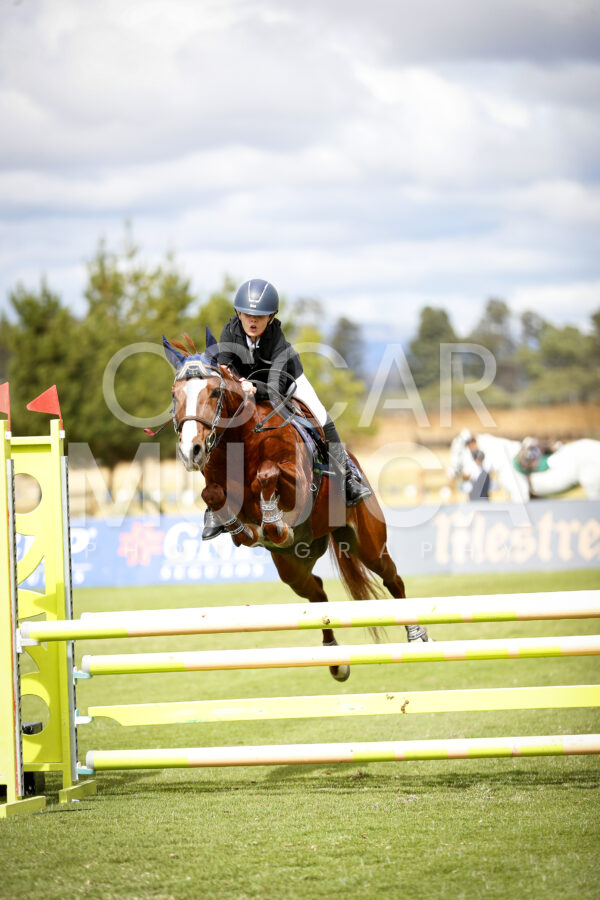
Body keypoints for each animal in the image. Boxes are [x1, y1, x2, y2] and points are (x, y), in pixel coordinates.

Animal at [163, 331, 430, 682]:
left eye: (215, 391)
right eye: (175, 394)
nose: (190, 451)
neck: (242, 440)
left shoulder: (300, 485)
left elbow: (268, 474)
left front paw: (272, 519)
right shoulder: (219, 486)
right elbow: (213, 495)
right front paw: (244, 531)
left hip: (368, 542)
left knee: (392, 578)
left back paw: (417, 636)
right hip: (293, 565)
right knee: (316, 592)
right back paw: (335, 659)